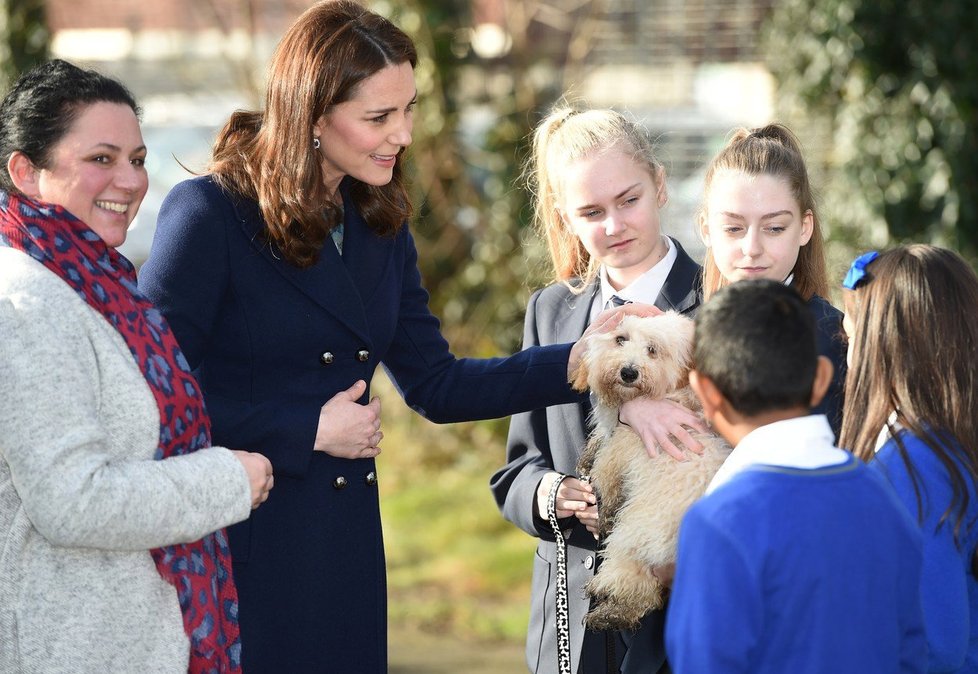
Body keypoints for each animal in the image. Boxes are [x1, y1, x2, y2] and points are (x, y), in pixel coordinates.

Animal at [568, 312, 728, 632]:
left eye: (653, 350)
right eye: (620, 339)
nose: (629, 372)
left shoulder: (622, 450)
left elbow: (606, 480)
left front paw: (601, 513)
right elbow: (599, 442)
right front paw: (587, 455)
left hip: (635, 535)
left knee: (639, 589)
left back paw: (606, 607)